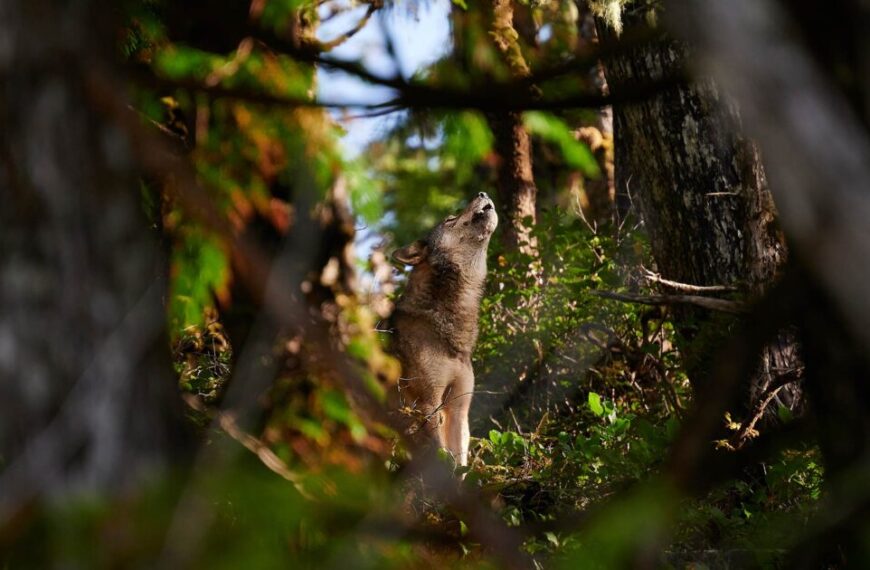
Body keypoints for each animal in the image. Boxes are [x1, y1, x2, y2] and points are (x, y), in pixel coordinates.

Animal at [391, 192, 498, 467]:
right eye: (450, 219)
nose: (482, 193)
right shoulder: (428, 405)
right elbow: (440, 459)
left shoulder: (459, 408)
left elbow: (460, 464)